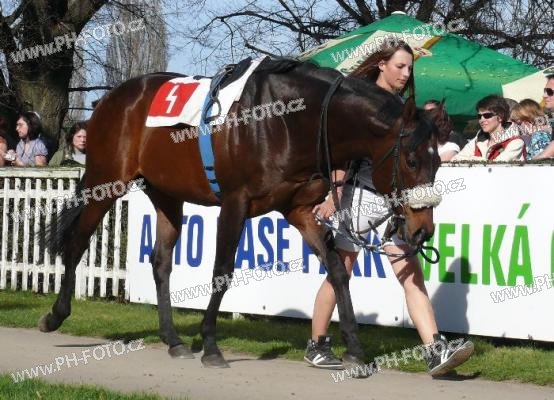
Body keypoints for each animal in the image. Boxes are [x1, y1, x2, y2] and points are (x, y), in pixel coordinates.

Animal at [39, 58, 440, 373]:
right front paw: (210, 345)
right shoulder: (235, 204)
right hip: (105, 182)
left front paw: (355, 348)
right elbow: (221, 272)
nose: (422, 230)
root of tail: (111, 99)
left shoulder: (297, 209)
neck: (290, 120)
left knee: (160, 262)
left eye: (437, 162)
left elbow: (337, 270)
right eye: (412, 160)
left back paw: (172, 339)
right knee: (76, 241)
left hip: (166, 193)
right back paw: (55, 315)